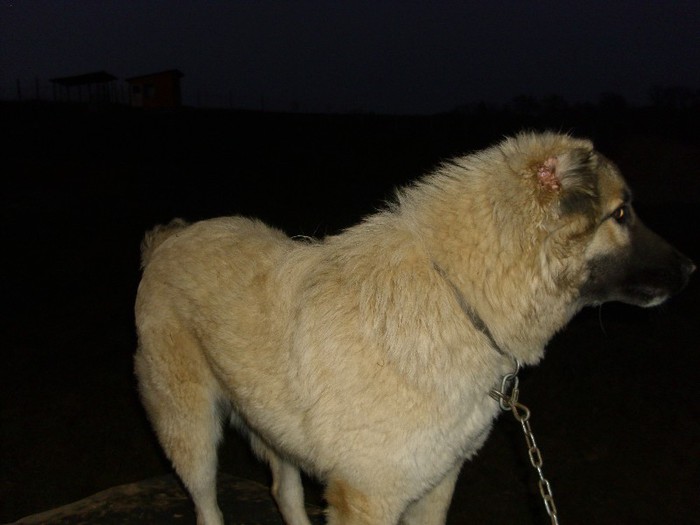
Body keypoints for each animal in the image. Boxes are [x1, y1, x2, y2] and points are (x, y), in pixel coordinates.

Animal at [134, 130, 692, 520]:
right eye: (621, 214)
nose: (691, 269)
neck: (459, 296)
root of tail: (168, 239)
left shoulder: (435, 485)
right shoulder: (368, 498)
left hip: (268, 423)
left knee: (284, 493)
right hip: (190, 434)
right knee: (207, 507)